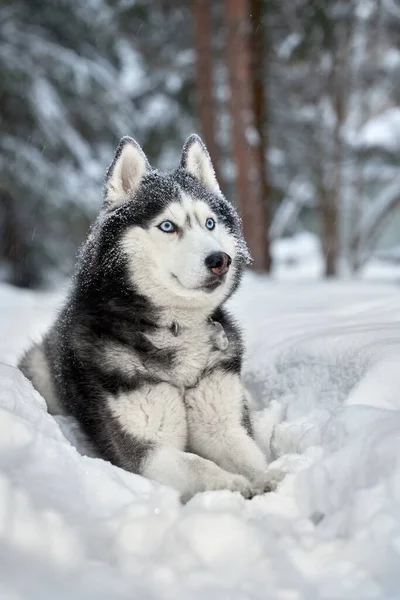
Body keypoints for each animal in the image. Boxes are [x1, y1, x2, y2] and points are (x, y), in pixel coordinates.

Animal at [19, 135, 282, 502]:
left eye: (210, 223)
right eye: (168, 226)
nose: (220, 260)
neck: (176, 328)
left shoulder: (221, 422)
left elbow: (247, 454)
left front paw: (266, 478)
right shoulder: (147, 451)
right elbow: (198, 465)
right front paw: (232, 484)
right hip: (40, 369)